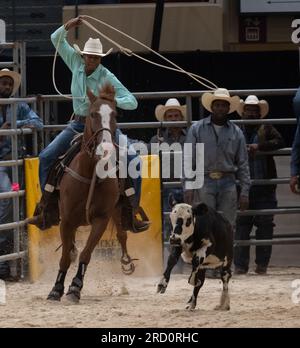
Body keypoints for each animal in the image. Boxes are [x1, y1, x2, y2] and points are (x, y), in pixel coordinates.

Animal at [47, 83, 137, 302]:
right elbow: (64, 257)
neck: (89, 173)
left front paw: (75, 287)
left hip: (117, 209)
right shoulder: (66, 220)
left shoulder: (101, 219)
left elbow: (86, 254)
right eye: (93, 113)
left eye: (115, 114)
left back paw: (126, 261)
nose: (105, 149)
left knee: (122, 234)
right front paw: (56, 288)